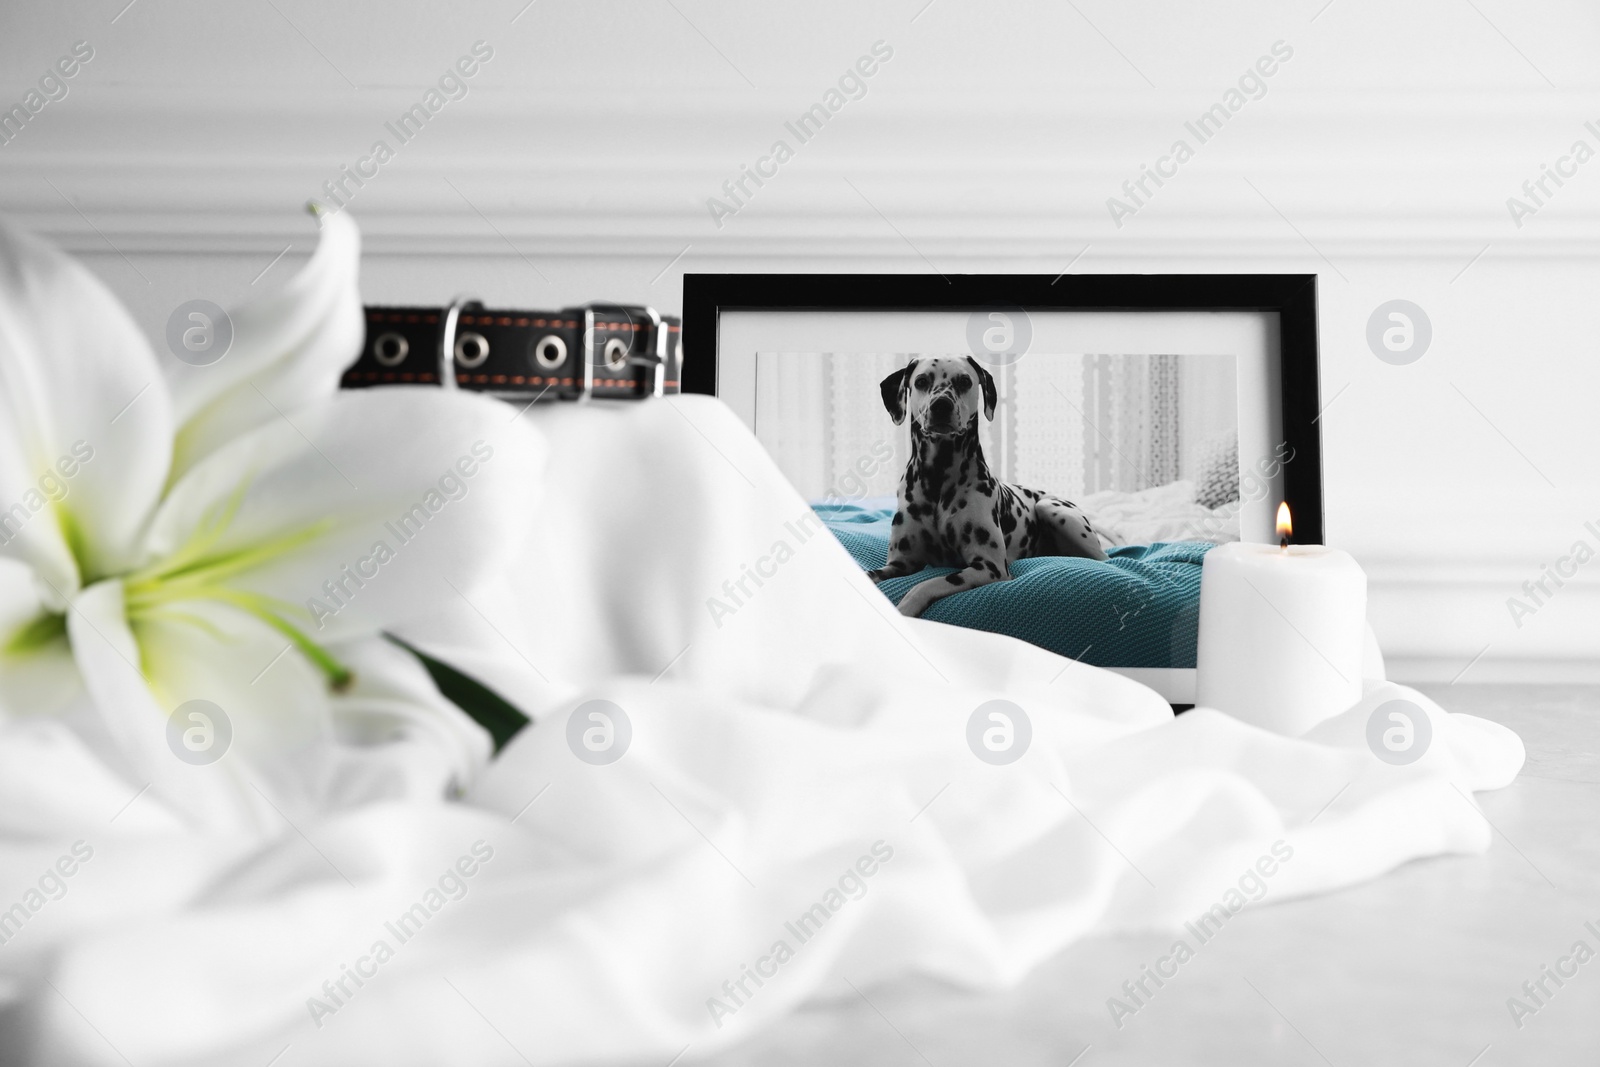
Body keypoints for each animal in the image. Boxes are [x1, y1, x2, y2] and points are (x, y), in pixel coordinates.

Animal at [870, 356, 1107, 617]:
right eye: (921, 381)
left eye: (964, 381)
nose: (941, 405)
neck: (938, 476)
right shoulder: (900, 563)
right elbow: (872, 573)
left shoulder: (989, 566)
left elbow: (926, 584)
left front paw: (905, 607)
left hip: (1054, 510)